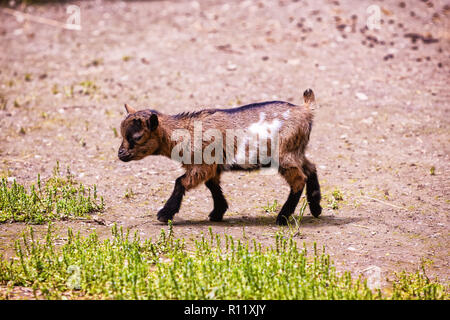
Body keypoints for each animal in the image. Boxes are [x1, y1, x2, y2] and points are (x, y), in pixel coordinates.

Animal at [118, 89, 322, 226]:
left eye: (137, 137)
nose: (120, 154)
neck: (185, 132)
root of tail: (305, 110)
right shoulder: (212, 165)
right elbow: (212, 185)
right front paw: (217, 213)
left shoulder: (202, 163)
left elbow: (180, 182)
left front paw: (164, 214)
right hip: (296, 150)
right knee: (311, 168)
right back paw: (316, 207)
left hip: (284, 154)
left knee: (299, 179)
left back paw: (283, 217)